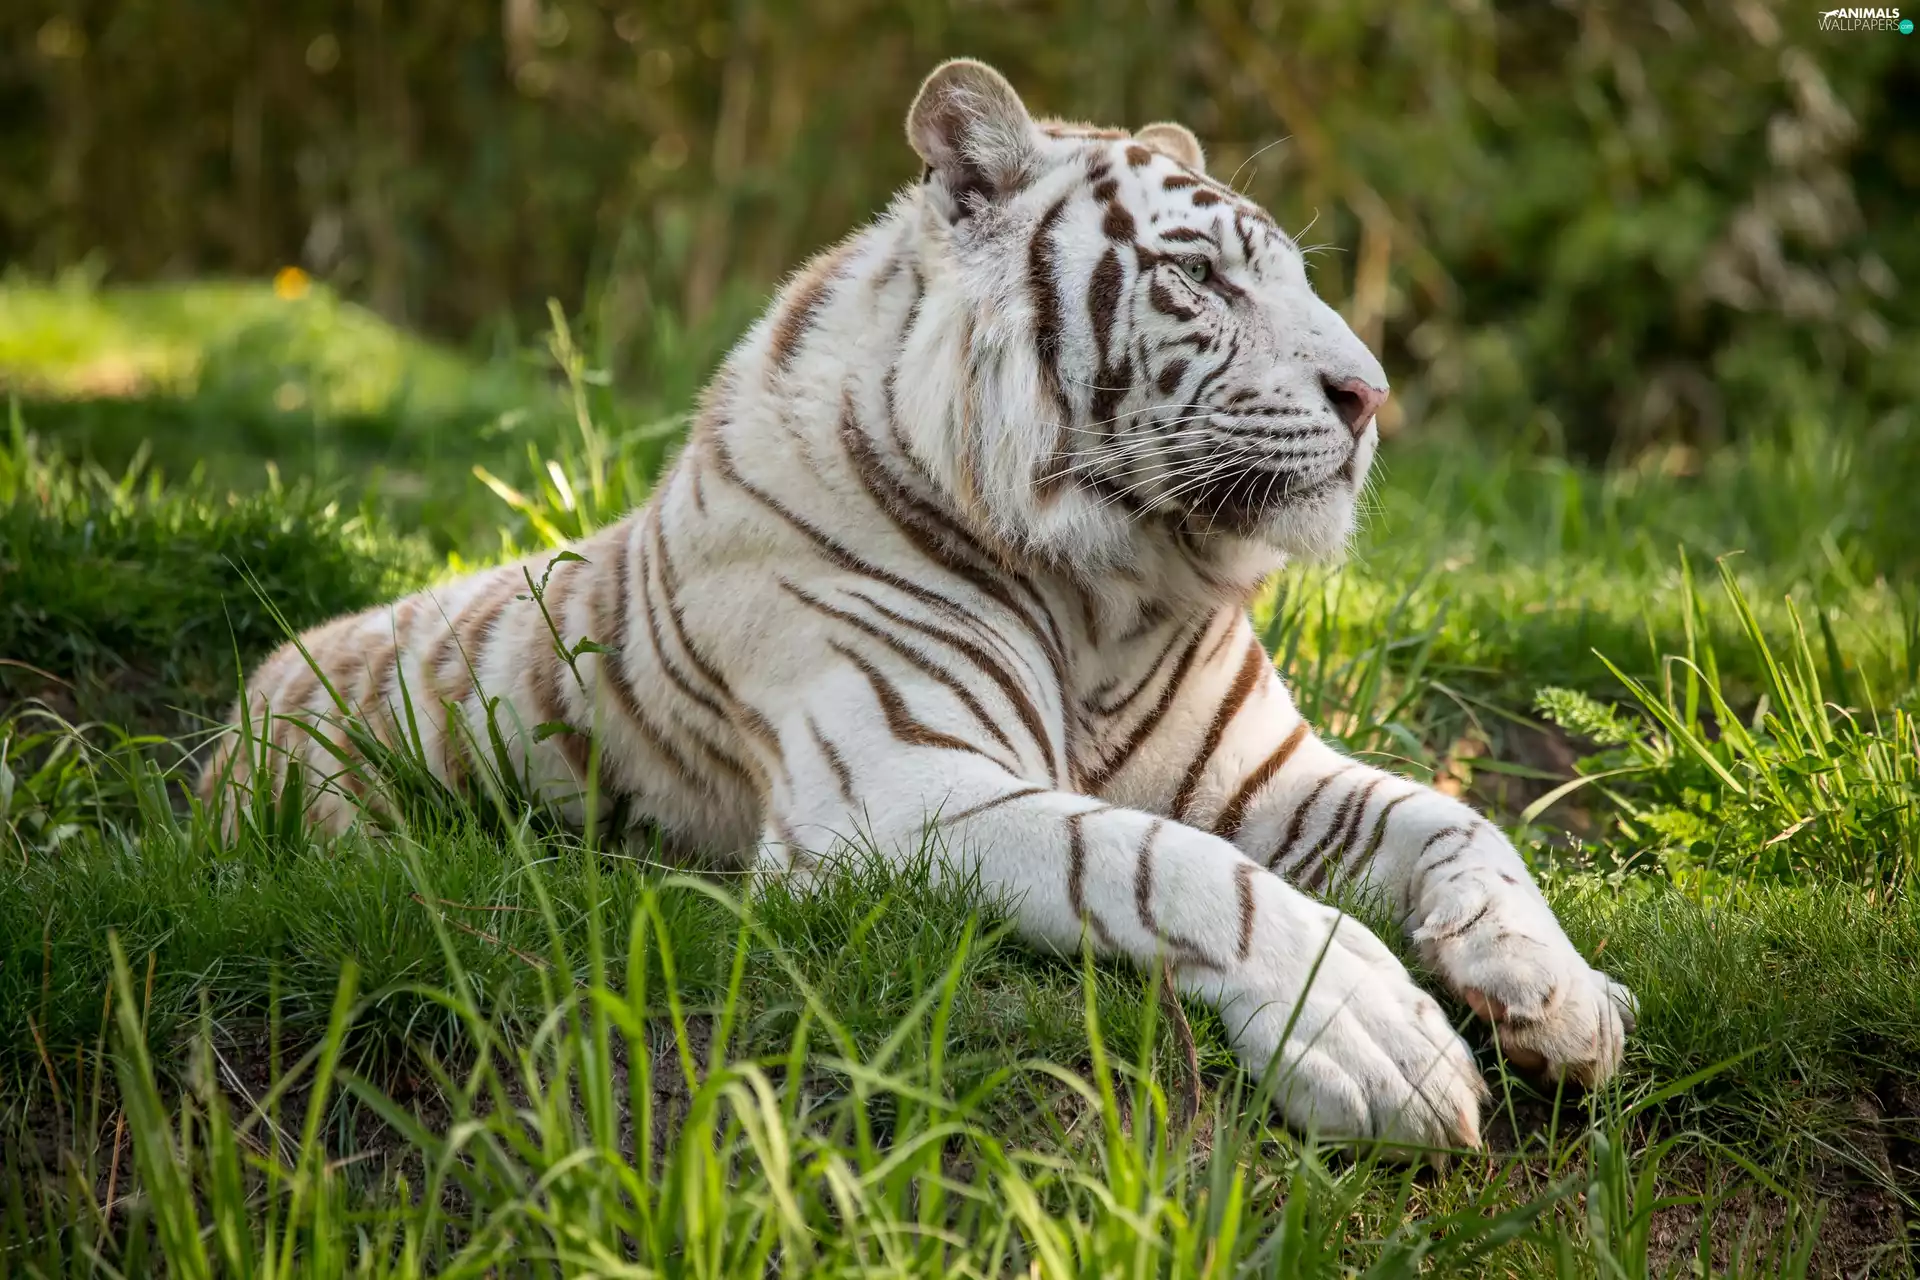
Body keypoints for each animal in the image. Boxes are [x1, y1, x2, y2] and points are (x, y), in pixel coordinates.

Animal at [203, 59, 1635, 1154]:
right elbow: (1162, 861)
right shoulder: (894, 787)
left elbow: (1459, 822)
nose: (1372, 393)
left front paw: (1560, 993)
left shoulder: (1259, 770)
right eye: (1201, 281)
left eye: (1295, 277)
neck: (1114, 583)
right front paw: (1379, 1038)